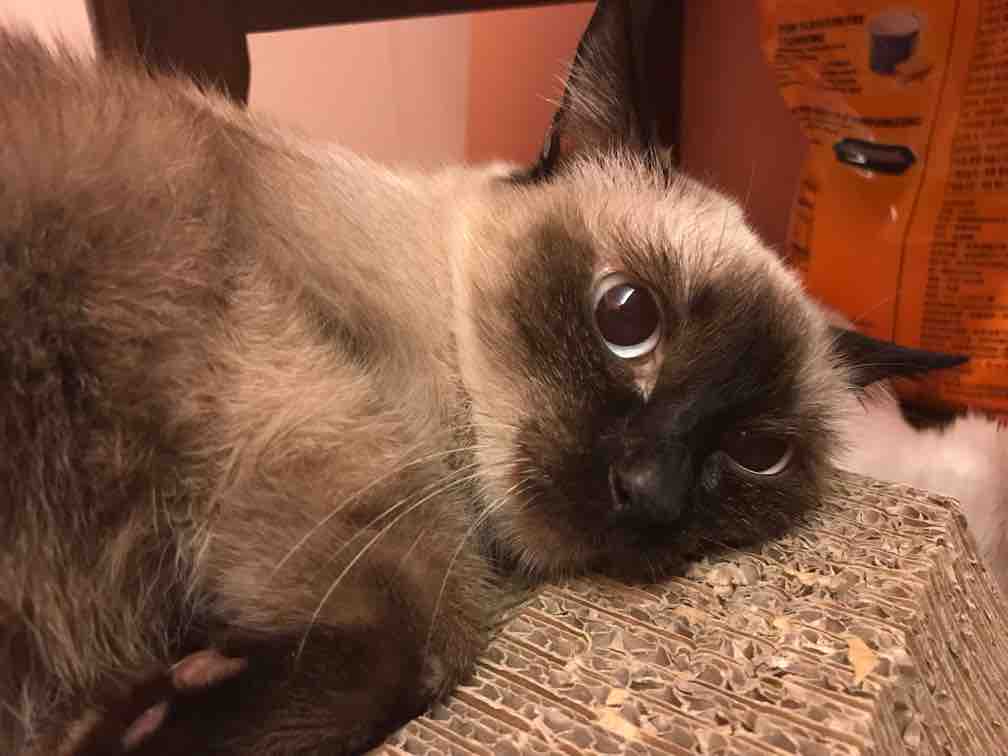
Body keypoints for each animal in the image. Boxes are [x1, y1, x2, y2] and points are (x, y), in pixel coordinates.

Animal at [0, 2, 965, 754]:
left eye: (759, 453)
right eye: (627, 318)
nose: (648, 491)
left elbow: (415, 636)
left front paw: (146, 706)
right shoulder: (287, 385)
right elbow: (430, 636)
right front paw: (114, 728)